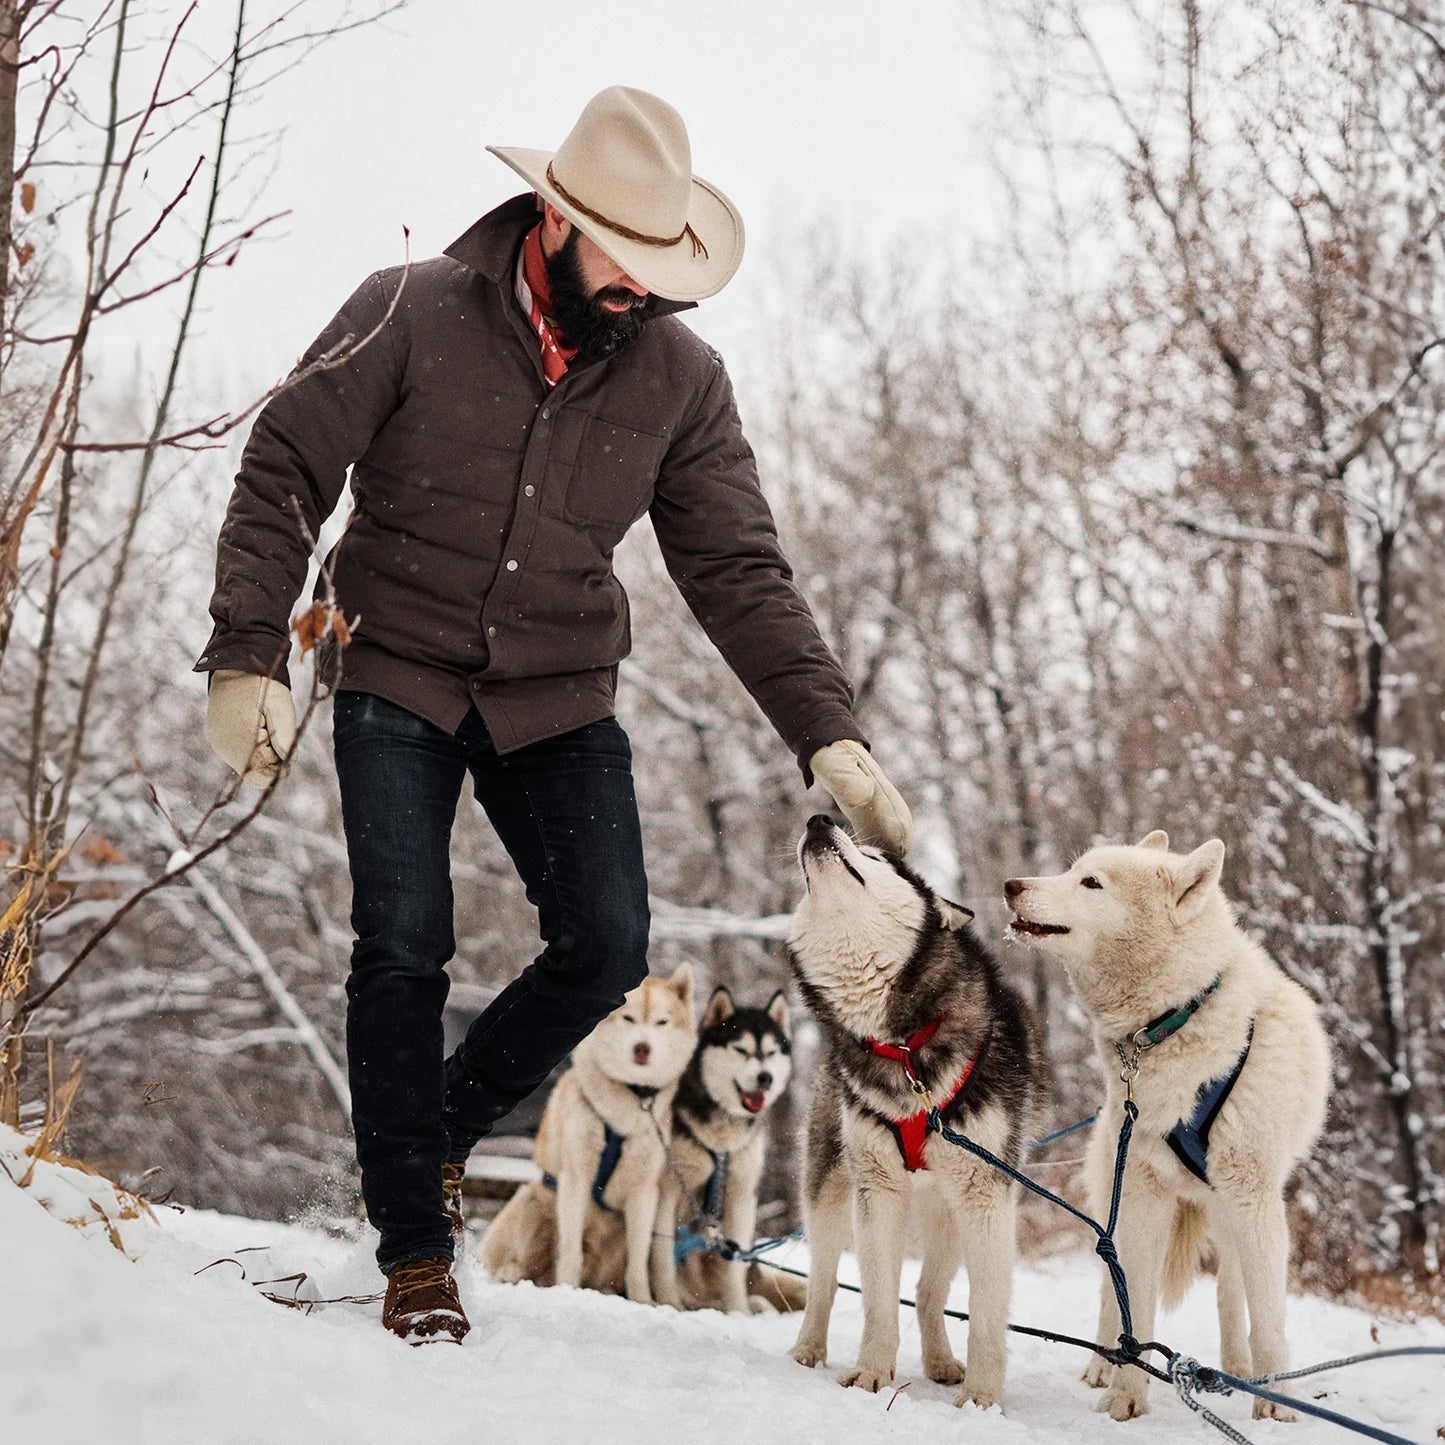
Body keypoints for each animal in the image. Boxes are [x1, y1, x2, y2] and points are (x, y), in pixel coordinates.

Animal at [1011, 838, 1323, 1421]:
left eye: (1091, 882)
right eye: (1072, 870)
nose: (1011, 885)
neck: (1174, 1018)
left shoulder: (1254, 1200)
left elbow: (1267, 1317)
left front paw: (1275, 1405)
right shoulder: (1141, 1194)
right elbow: (1135, 1306)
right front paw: (1125, 1396)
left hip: (1228, 1212)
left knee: (1230, 1295)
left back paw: (1237, 1370)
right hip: (1118, 1198)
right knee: (1113, 1289)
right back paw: (1103, 1363)